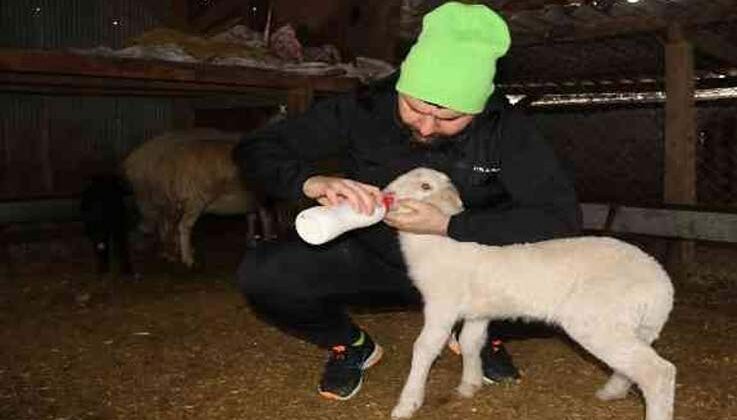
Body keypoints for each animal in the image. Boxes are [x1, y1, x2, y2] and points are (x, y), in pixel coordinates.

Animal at [382, 167, 676, 420]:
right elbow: (469, 343)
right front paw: (470, 385)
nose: (387, 194)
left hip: (599, 321)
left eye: (425, 186)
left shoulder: (441, 305)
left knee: (658, 372)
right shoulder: (479, 312)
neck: (438, 246)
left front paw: (407, 404)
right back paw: (611, 391)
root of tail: (662, 285)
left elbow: (424, 348)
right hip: (631, 325)